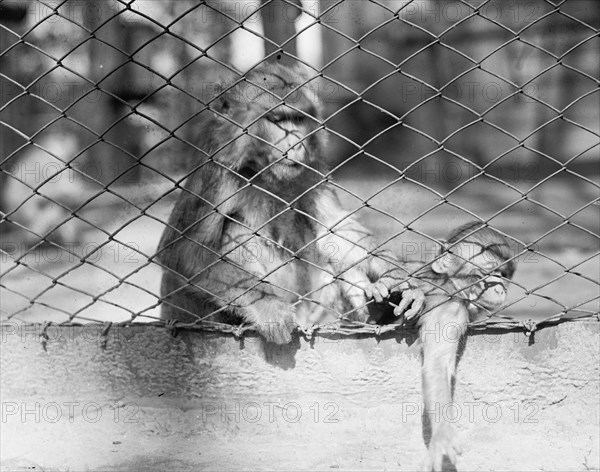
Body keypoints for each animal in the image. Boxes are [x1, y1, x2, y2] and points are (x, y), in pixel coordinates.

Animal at [157, 63, 424, 342]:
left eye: (298, 119)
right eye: (278, 120)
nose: (296, 141)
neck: (262, 170)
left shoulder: (312, 167)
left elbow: (335, 228)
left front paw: (398, 278)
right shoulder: (219, 167)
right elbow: (186, 250)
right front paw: (267, 306)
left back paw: (376, 309)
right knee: (234, 227)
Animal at [398, 222, 516, 472]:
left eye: (503, 277)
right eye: (490, 273)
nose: (500, 289)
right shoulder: (450, 309)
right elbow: (436, 365)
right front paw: (442, 434)